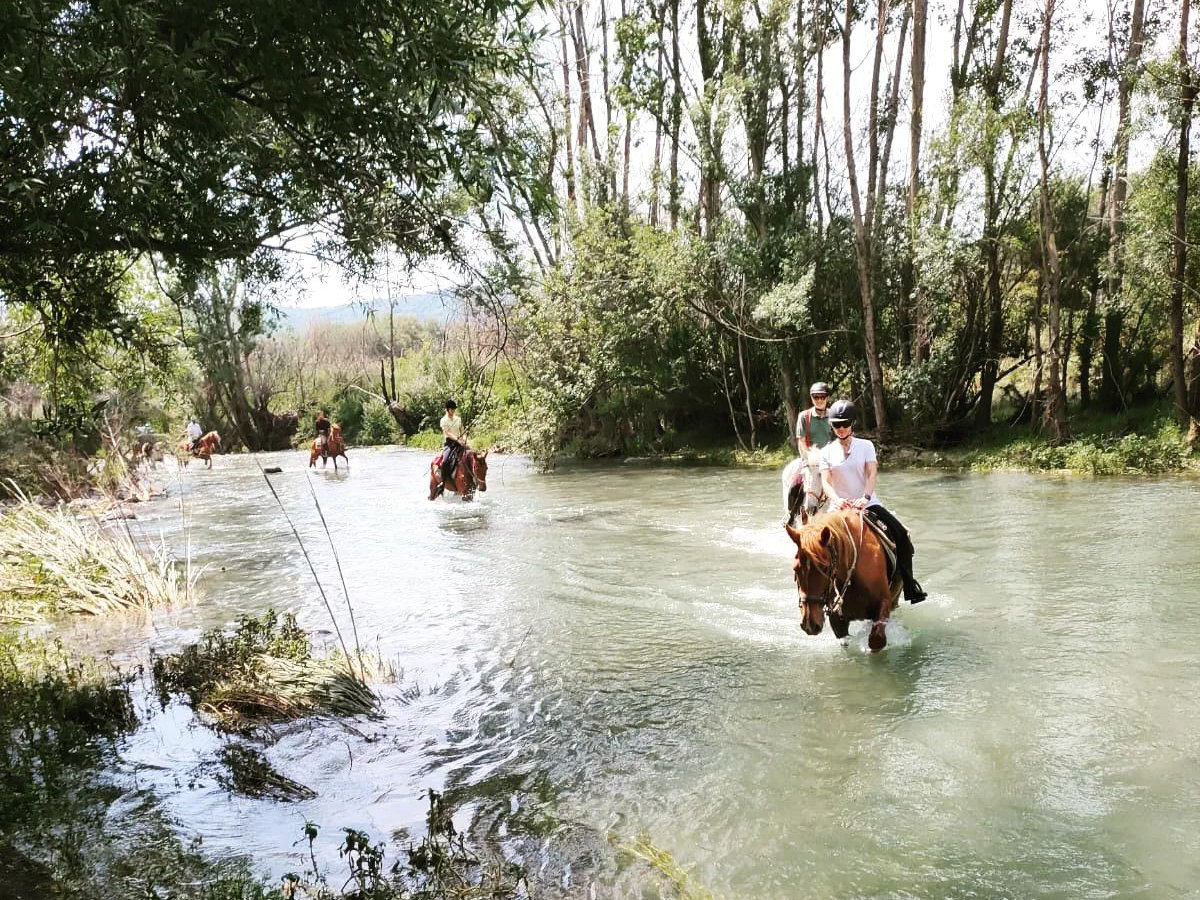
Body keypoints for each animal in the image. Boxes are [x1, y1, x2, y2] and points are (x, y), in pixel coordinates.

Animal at [784, 508, 903, 652]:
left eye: (825, 567)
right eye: (795, 568)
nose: (809, 624)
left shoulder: (884, 601)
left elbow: (876, 640)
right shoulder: (837, 618)